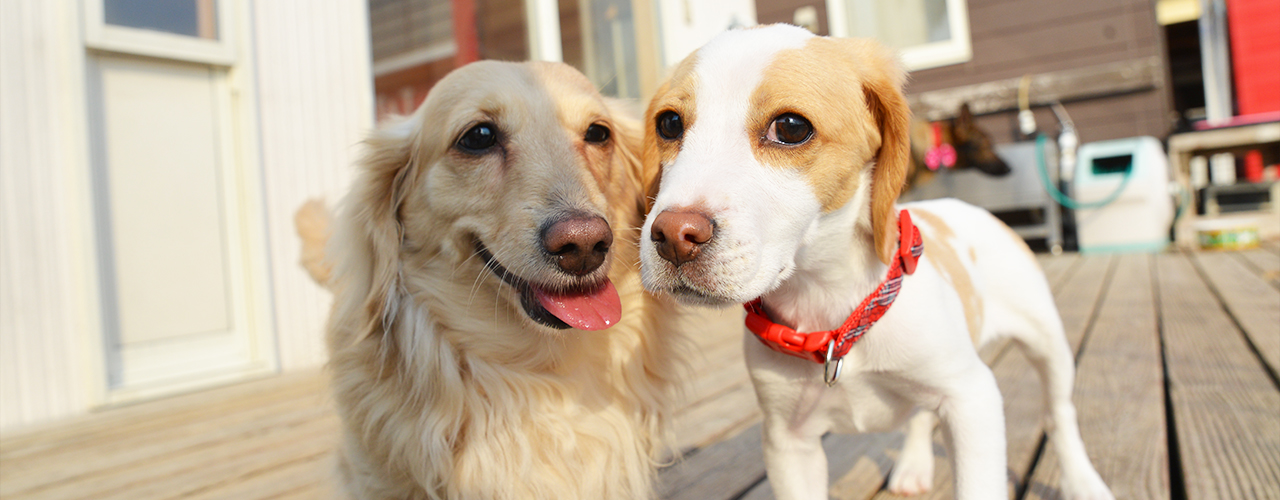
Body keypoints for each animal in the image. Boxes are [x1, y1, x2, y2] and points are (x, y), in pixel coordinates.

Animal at [637, 25, 1111, 498]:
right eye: (669, 123)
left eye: (790, 127)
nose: (674, 237)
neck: (829, 309)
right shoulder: (788, 442)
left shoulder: (971, 399)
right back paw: (914, 466)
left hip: (1048, 343)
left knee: (1059, 414)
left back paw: (1083, 481)